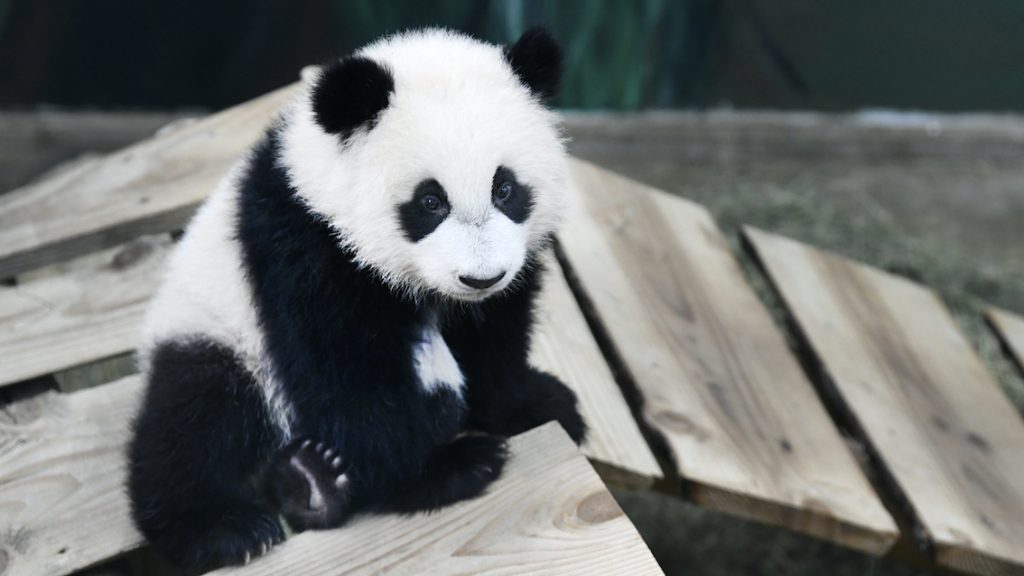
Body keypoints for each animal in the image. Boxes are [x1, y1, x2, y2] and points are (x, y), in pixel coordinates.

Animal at [126, 27, 587, 571]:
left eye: (505, 188)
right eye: (430, 201)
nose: (481, 277)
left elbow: (493, 336)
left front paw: (535, 405)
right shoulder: (305, 248)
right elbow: (348, 374)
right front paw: (437, 471)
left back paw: (306, 483)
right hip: (220, 334)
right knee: (195, 420)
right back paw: (239, 520)